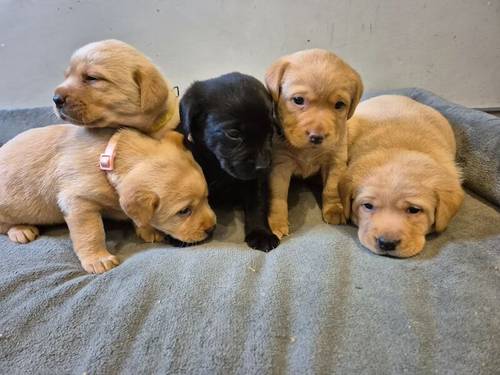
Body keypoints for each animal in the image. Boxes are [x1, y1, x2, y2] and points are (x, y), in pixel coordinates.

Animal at [0, 126, 216, 274]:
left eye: (207, 198)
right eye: (184, 211)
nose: (212, 228)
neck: (107, 159)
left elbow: (135, 215)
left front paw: (148, 229)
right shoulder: (77, 202)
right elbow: (91, 233)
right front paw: (98, 259)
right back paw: (21, 229)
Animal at [179, 72, 282, 251]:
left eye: (270, 132)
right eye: (233, 134)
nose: (263, 166)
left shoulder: (255, 181)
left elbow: (257, 203)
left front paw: (261, 233)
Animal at [266, 49, 364, 238]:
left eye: (339, 105)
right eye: (298, 100)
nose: (316, 137)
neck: (308, 150)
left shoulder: (336, 160)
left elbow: (331, 188)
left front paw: (334, 209)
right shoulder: (280, 165)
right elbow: (278, 197)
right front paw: (276, 223)